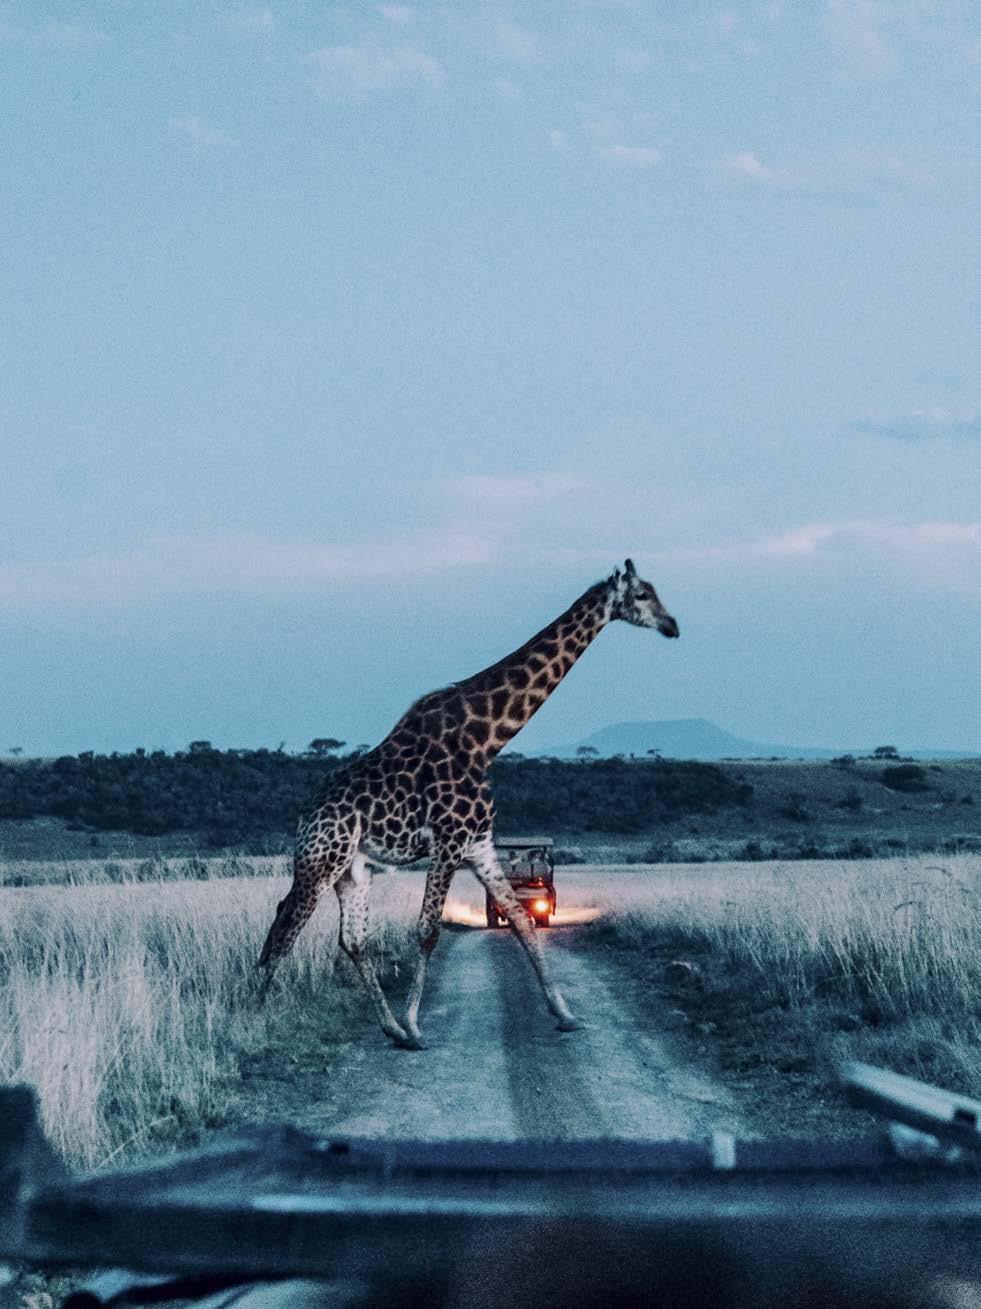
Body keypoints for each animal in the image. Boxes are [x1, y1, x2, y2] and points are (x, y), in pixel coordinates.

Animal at [257, 559, 679, 1048]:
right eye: (643, 595)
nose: (672, 626)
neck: (486, 738)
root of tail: (305, 817)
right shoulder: (449, 841)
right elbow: (427, 930)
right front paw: (417, 1024)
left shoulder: (479, 843)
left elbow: (521, 920)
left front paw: (565, 1013)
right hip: (321, 860)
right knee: (284, 927)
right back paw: (258, 1020)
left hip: (353, 870)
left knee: (351, 940)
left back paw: (389, 1028)